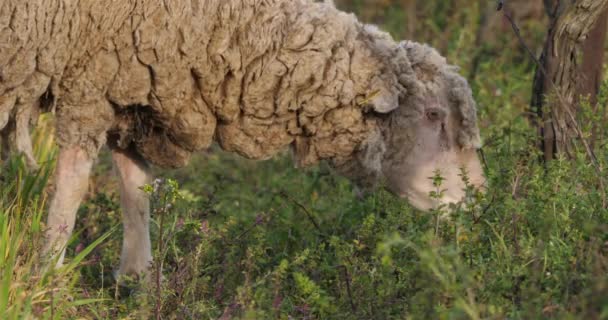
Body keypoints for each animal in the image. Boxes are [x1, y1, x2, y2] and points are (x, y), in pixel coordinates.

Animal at [0, 0, 484, 280]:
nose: (479, 201)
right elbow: (71, 192)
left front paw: (139, 279)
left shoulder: (129, 86)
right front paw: (46, 277)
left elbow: (136, 191)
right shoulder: (89, 83)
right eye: (434, 115)